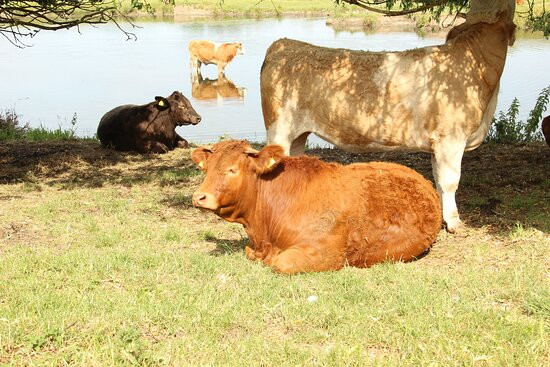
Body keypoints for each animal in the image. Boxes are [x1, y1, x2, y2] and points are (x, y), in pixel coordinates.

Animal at [260, 5, 516, 233]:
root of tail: (284, 44)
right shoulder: (450, 139)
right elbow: (450, 181)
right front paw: (454, 223)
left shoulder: (438, 143)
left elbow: (438, 180)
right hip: (279, 129)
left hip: (298, 134)